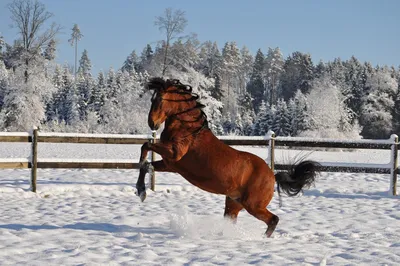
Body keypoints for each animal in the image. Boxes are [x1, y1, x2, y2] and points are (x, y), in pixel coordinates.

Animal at [137, 77, 318, 237]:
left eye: (160, 99)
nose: (152, 123)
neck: (188, 128)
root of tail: (272, 176)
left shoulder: (174, 154)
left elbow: (146, 146)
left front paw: (141, 186)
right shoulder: (170, 164)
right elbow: (147, 165)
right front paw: (141, 190)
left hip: (253, 205)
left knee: (273, 219)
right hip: (234, 203)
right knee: (234, 220)